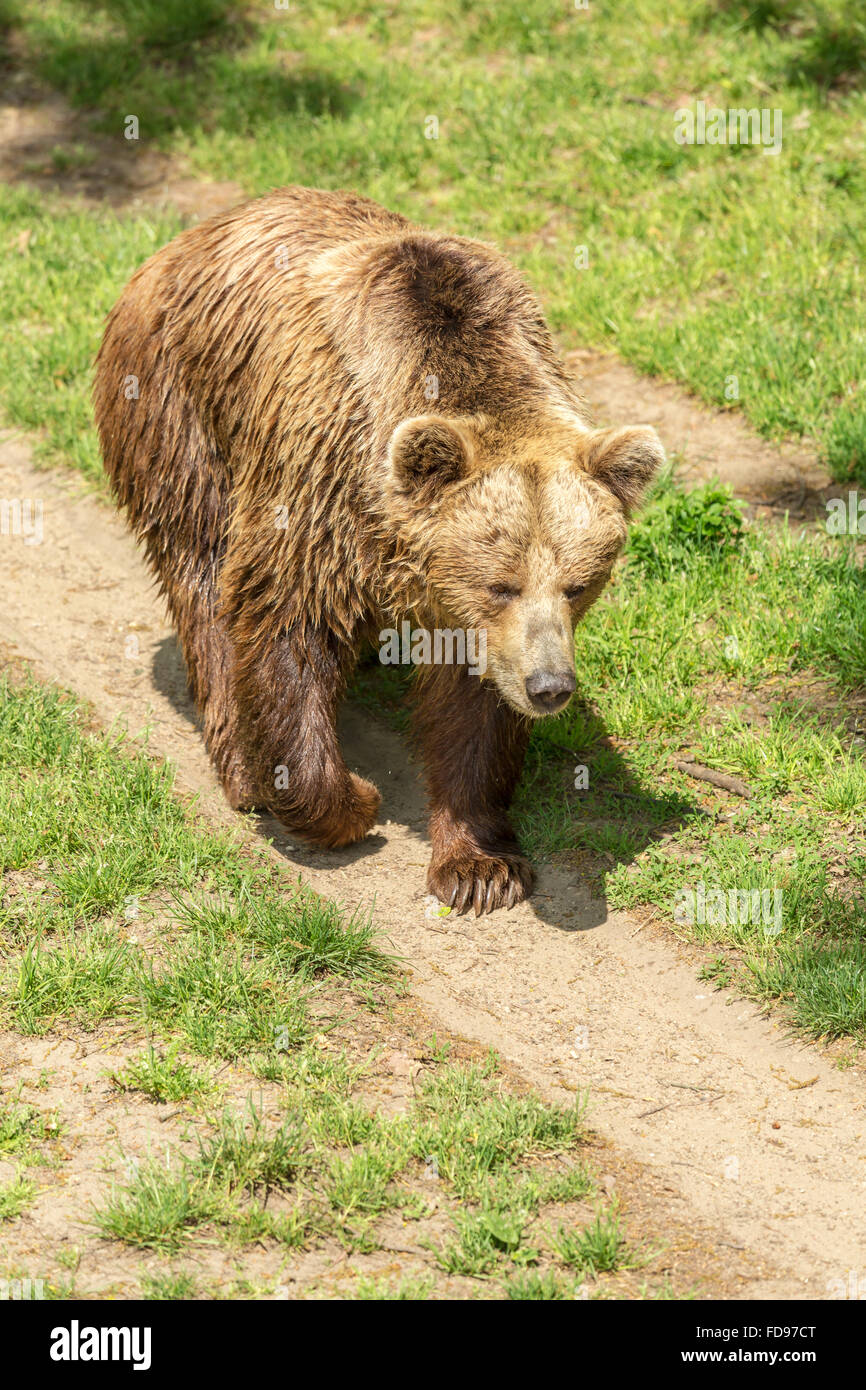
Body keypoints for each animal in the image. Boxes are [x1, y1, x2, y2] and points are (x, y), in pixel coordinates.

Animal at [93, 190, 664, 917]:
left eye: (579, 584)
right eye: (500, 584)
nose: (550, 687)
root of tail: (188, 239)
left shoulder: (468, 617)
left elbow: (473, 706)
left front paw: (480, 865)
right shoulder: (315, 479)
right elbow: (282, 617)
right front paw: (348, 800)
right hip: (175, 402)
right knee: (201, 563)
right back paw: (240, 762)